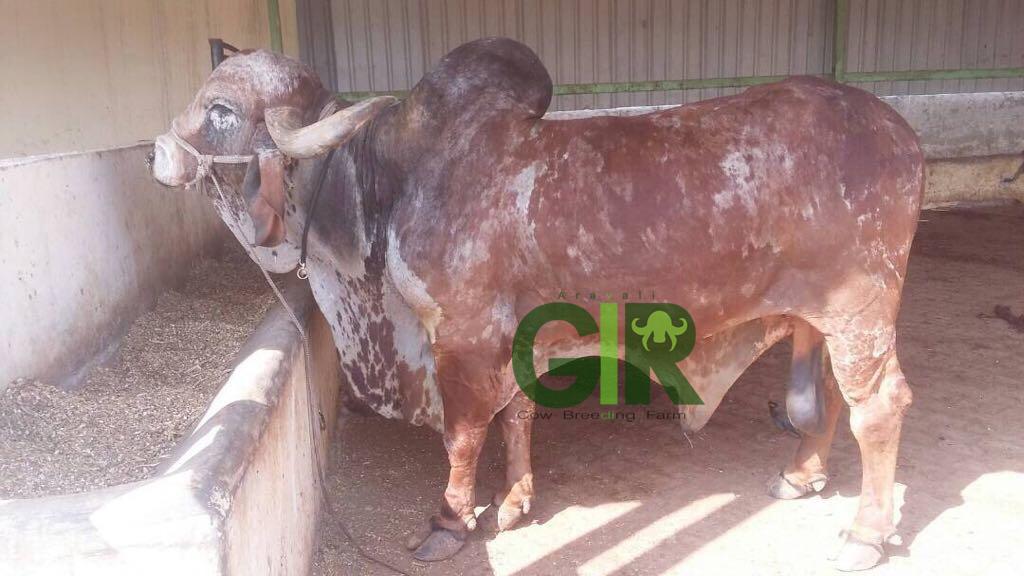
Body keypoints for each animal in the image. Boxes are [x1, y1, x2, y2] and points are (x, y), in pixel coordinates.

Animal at [151, 38, 922, 571]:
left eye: (220, 112)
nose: (159, 152)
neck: (391, 178)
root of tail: (899, 132)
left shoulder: (461, 338)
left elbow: (464, 435)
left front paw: (449, 521)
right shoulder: (510, 334)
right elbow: (517, 413)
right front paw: (517, 499)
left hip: (862, 311)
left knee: (880, 408)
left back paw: (865, 533)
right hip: (821, 318)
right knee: (822, 396)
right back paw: (800, 475)